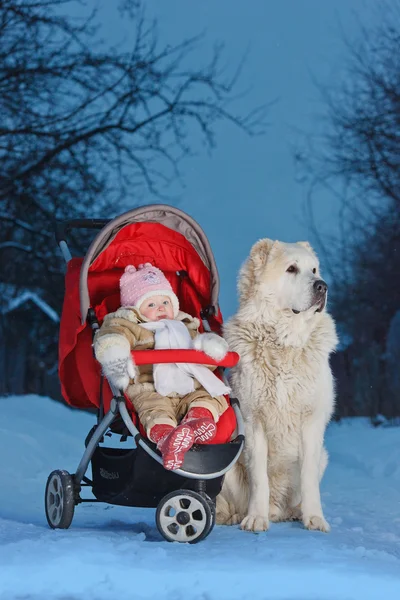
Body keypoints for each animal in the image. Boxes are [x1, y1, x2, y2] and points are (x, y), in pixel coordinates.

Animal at [216, 237, 338, 532]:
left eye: (314, 270)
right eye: (291, 269)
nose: (323, 286)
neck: (285, 342)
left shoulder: (311, 422)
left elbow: (308, 479)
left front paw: (314, 518)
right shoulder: (253, 421)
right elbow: (259, 477)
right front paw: (255, 519)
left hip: (323, 456)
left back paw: (293, 512)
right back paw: (232, 516)